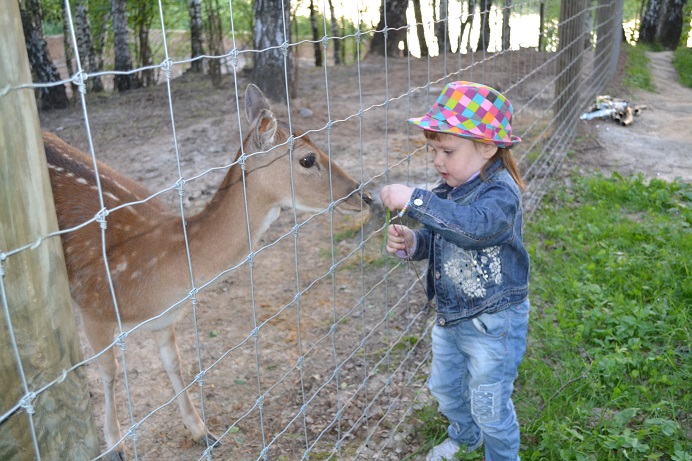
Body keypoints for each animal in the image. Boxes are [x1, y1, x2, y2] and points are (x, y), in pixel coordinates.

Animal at [44, 84, 371, 460]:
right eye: (307, 159)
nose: (364, 196)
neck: (161, 272)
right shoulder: (94, 306)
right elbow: (110, 372)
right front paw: (114, 445)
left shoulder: (166, 318)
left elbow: (175, 363)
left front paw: (202, 430)